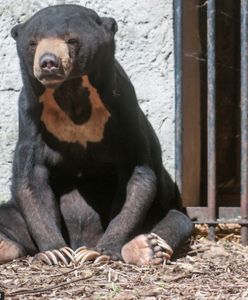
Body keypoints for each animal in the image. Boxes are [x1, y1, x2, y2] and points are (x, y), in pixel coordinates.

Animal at [0, 4, 193, 264]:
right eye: (33, 43)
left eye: (72, 40)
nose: (48, 62)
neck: (70, 92)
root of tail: (80, 239)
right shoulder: (31, 117)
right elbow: (31, 178)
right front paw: (55, 252)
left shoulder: (123, 111)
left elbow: (136, 176)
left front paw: (100, 251)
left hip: (163, 208)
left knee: (176, 220)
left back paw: (144, 247)